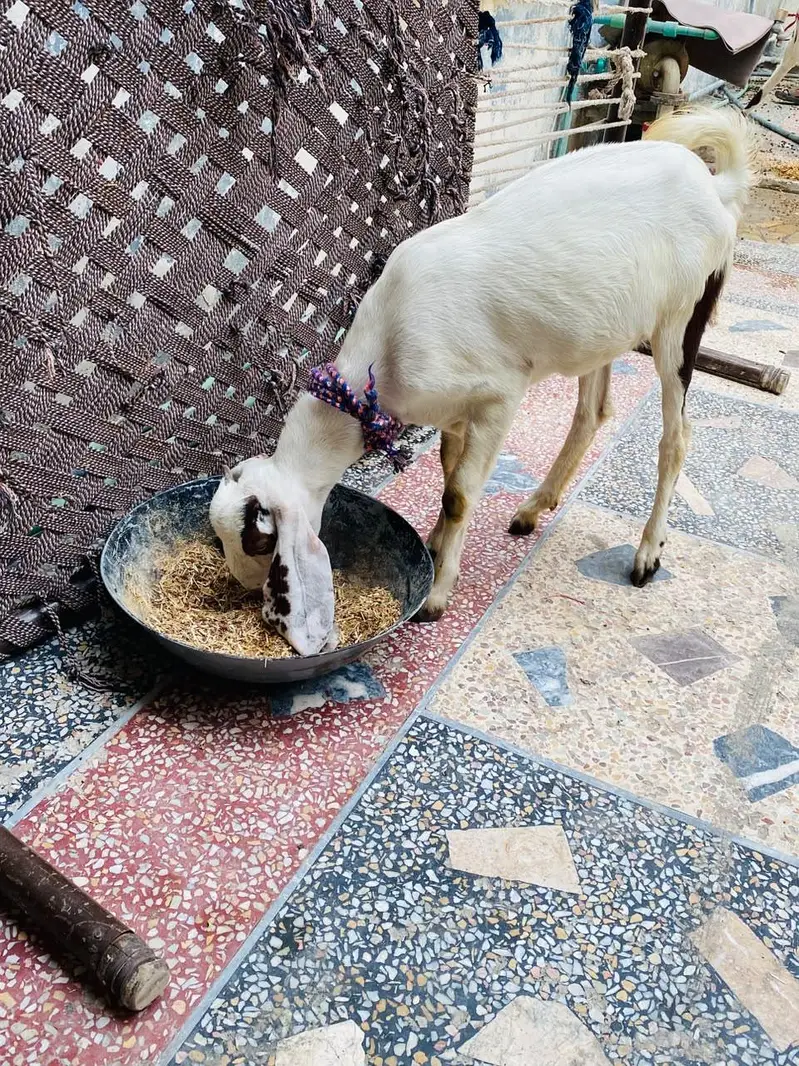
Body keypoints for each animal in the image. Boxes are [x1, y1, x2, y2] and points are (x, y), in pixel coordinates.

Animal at [210, 107, 755, 655]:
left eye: (258, 540)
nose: (240, 586)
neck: (382, 357)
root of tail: (714, 185)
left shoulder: (499, 395)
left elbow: (459, 493)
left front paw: (437, 597)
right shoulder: (452, 410)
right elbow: (449, 473)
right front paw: (434, 546)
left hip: (681, 319)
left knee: (675, 438)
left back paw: (647, 553)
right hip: (600, 332)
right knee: (592, 412)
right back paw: (533, 508)